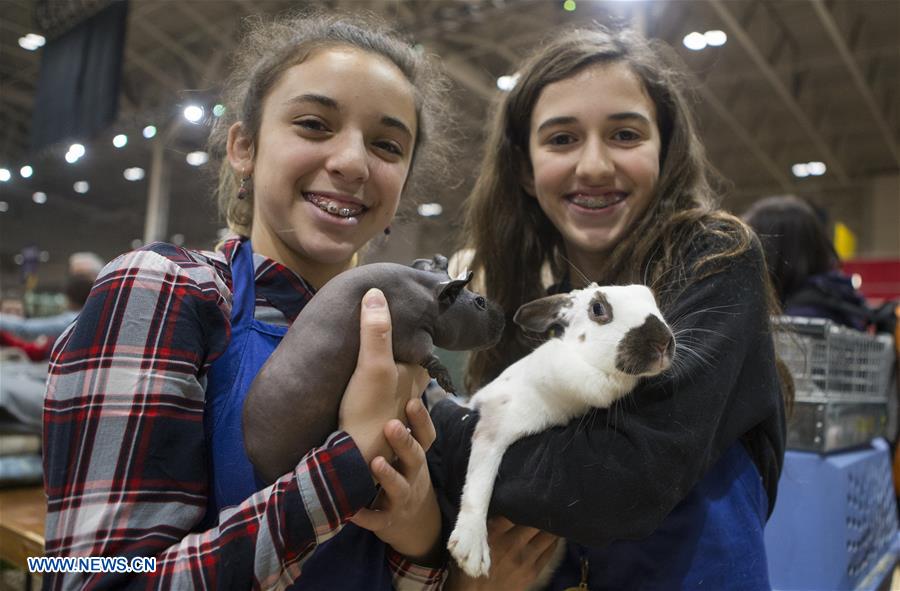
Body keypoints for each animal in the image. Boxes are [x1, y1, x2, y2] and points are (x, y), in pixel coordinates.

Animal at [446, 284, 672, 584]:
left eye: (651, 298)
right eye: (598, 308)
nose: (663, 342)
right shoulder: (495, 424)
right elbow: (480, 480)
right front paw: (471, 550)